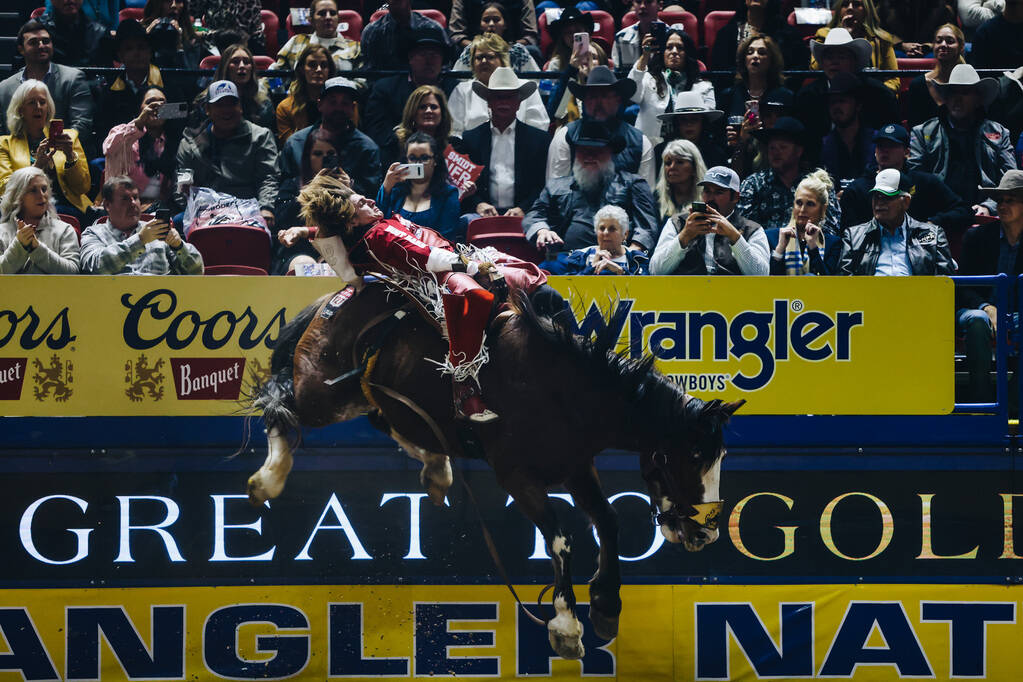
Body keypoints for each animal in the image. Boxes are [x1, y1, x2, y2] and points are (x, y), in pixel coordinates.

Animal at [247, 280, 744, 658]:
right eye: (694, 456)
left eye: (719, 458)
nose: (706, 533)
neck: (563, 389)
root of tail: (329, 301)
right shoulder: (517, 476)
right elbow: (560, 540)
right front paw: (567, 626)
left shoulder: (576, 466)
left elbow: (608, 520)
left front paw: (606, 603)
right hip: (320, 393)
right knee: (278, 402)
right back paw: (267, 479)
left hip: (368, 398)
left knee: (383, 420)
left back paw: (437, 469)